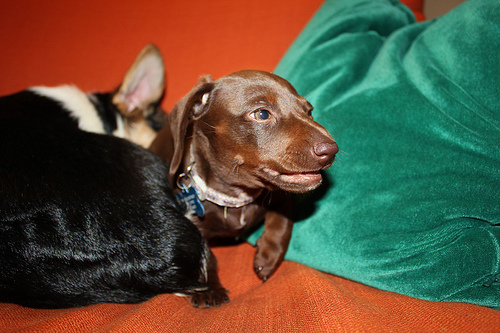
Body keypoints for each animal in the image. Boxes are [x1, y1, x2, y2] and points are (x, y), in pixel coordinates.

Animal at [150, 70, 338, 308]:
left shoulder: (281, 196)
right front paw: (209, 288)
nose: (332, 150)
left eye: (309, 111)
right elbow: (205, 255)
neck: (236, 197)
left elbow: (282, 222)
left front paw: (268, 254)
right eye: (262, 114)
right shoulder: (192, 221)